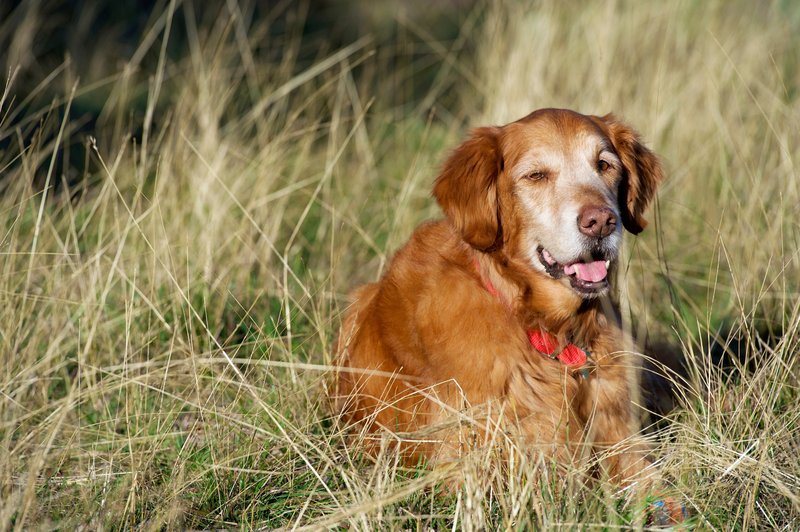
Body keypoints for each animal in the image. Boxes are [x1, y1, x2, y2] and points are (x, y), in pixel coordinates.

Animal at [332, 108, 676, 502]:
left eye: (604, 165)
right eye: (536, 175)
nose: (601, 221)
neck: (549, 330)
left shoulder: (625, 441)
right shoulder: (467, 467)